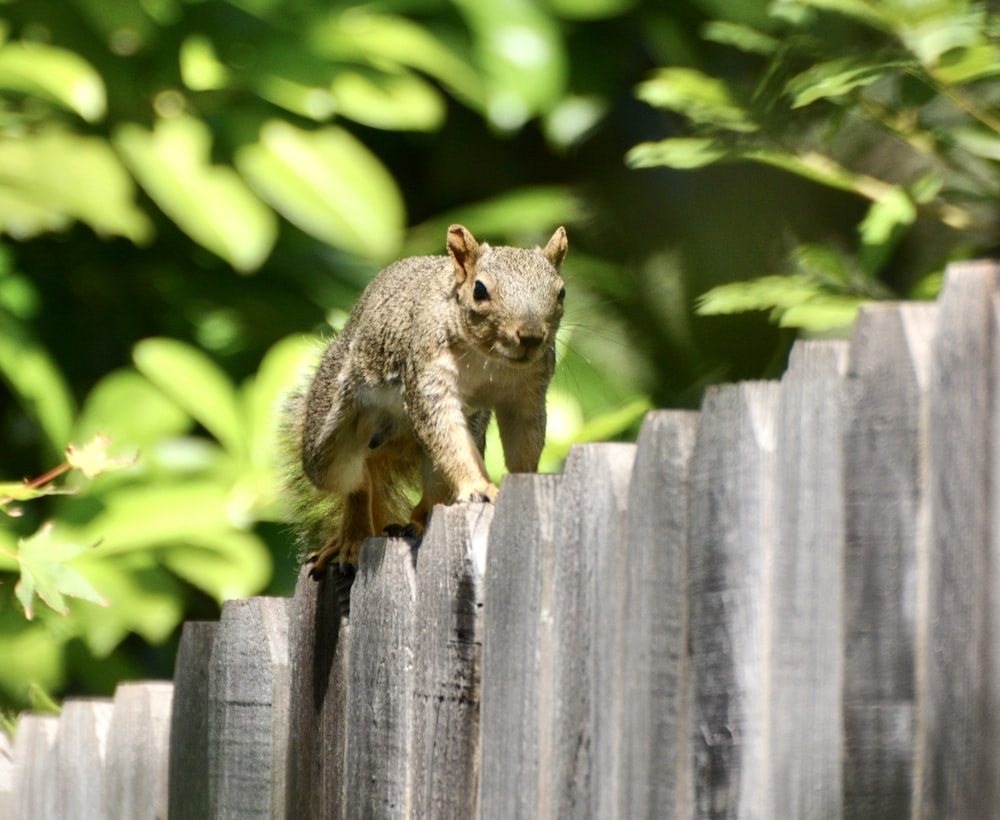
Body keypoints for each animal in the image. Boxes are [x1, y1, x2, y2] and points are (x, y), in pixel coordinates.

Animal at [282, 221, 568, 572]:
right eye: (480, 290)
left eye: (561, 292)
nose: (530, 336)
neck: (490, 359)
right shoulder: (427, 374)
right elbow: (446, 433)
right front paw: (479, 488)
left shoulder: (527, 394)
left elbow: (524, 443)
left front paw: (523, 483)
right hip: (327, 441)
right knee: (357, 481)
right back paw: (352, 535)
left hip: (463, 435)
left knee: (432, 489)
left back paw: (415, 522)